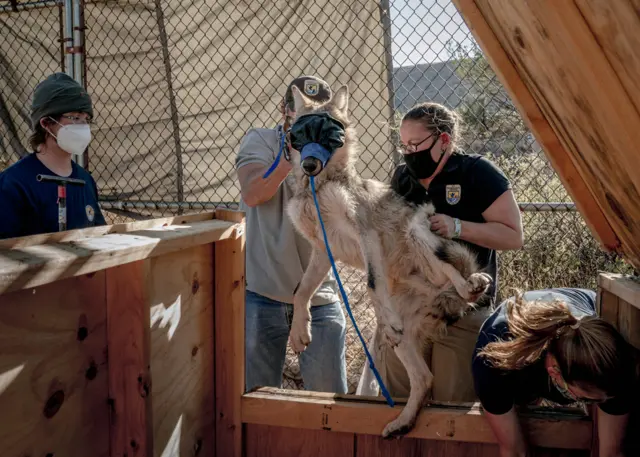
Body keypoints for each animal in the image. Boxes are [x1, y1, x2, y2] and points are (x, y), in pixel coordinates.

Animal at [285, 84, 492, 438]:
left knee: (455, 273)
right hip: (404, 342)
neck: (319, 187)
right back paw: (402, 422)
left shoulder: (365, 233)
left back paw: (474, 284)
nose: (310, 164)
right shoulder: (324, 250)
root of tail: (442, 297)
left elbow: (370, 283)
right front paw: (300, 332)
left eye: (330, 134)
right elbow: (301, 291)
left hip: (417, 230)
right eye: (299, 133)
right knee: (424, 380)